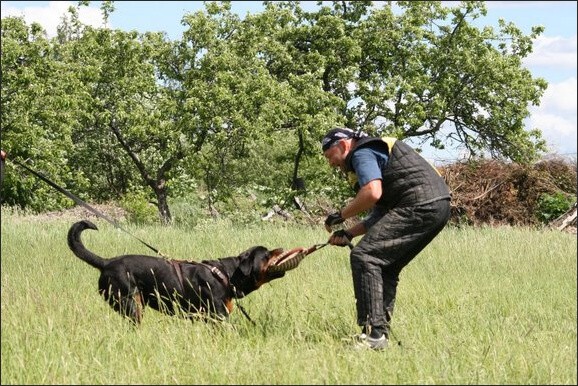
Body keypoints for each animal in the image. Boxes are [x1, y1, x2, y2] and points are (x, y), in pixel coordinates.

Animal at [67, 220, 304, 322]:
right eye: (267, 254)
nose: (281, 248)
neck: (227, 275)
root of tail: (106, 262)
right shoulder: (218, 316)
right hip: (130, 303)